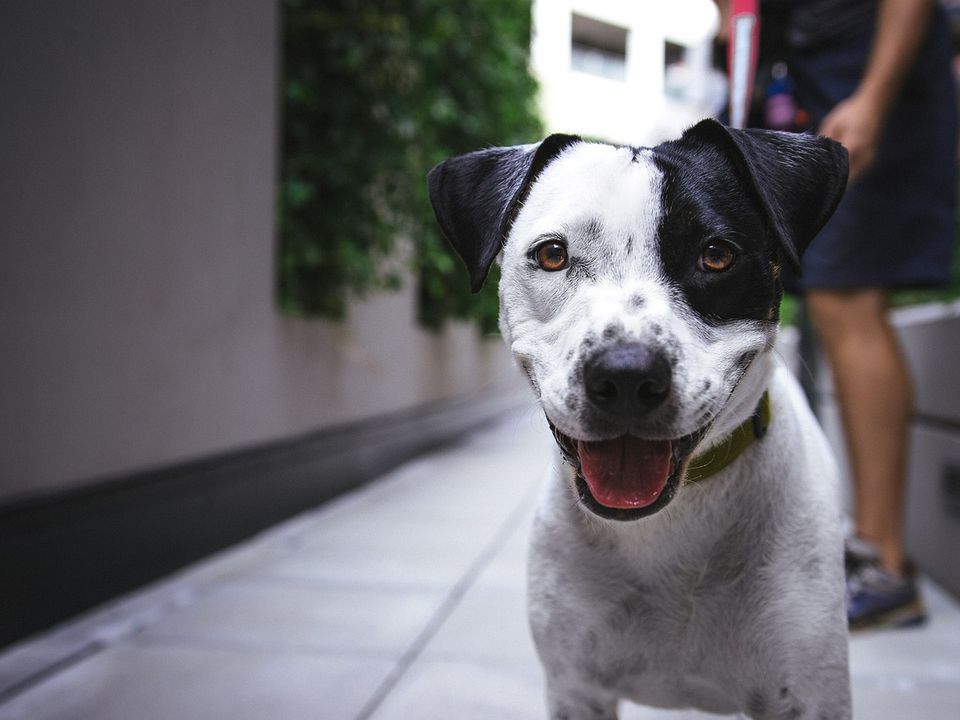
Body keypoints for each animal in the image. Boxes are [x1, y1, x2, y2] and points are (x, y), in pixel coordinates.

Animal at [432, 121, 852, 716]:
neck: (669, 526)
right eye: (553, 254)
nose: (626, 375)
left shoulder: (809, 694)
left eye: (716, 255)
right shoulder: (576, 689)